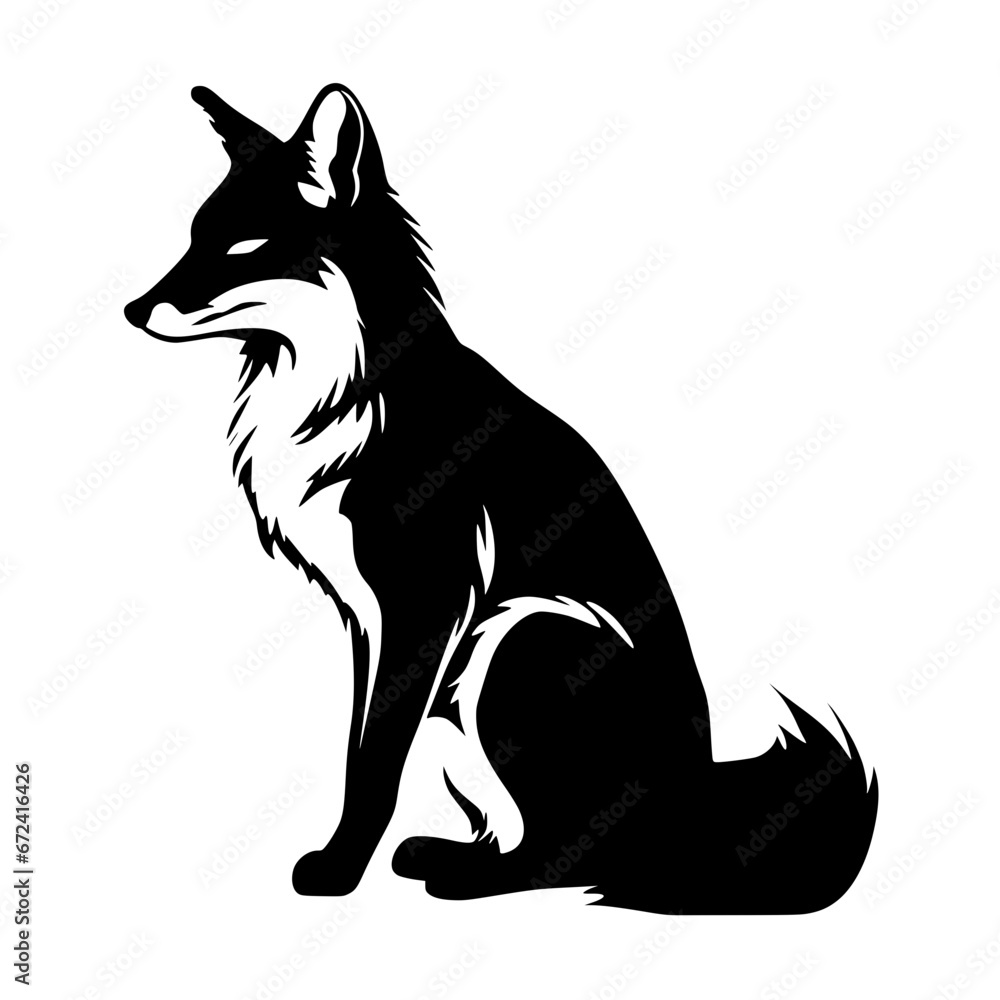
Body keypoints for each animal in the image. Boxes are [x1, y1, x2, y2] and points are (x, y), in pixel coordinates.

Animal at [124, 83, 878, 914]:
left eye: (242, 249)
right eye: (192, 239)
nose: (132, 310)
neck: (349, 390)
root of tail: (700, 817)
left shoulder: (426, 607)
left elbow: (373, 761)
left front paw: (338, 870)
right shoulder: (368, 620)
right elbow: (358, 741)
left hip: (519, 637)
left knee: (570, 854)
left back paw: (466, 877)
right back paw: (447, 854)